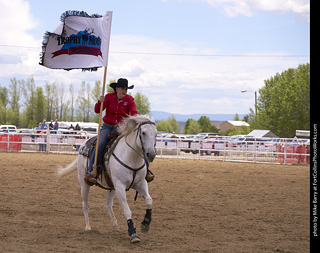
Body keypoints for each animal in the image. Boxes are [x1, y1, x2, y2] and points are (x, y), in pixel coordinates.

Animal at [58, 114, 158, 243]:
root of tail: (82, 146)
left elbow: (149, 201)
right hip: (84, 184)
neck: (131, 158)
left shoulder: (140, 183)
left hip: (112, 187)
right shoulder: (120, 185)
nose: (151, 154)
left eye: (156, 134)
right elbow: (127, 210)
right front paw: (133, 233)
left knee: (108, 204)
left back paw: (115, 225)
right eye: (144, 133)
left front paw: (145, 223)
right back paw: (88, 226)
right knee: (86, 205)